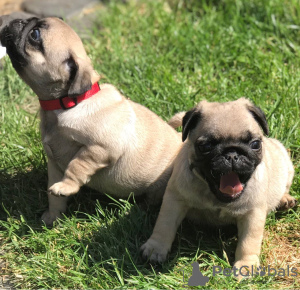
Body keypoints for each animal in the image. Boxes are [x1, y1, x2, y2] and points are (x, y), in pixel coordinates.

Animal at [0, 17, 183, 227]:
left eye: (35, 35)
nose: (19, 20)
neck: (68, 104)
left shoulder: (100, 149)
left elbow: (76, 165)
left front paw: (66, 186)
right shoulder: (54, 165)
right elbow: (53, 196)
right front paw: (53, 217)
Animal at [142, 98, 296, 270]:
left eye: (255, 144)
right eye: (206, 147)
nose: (232, 154)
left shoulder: (253, 214)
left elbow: (248, 242)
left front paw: (246, 265)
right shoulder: (174, 200)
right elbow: (164, 225)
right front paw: (156, 248)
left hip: (286, 164)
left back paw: (285, 199)